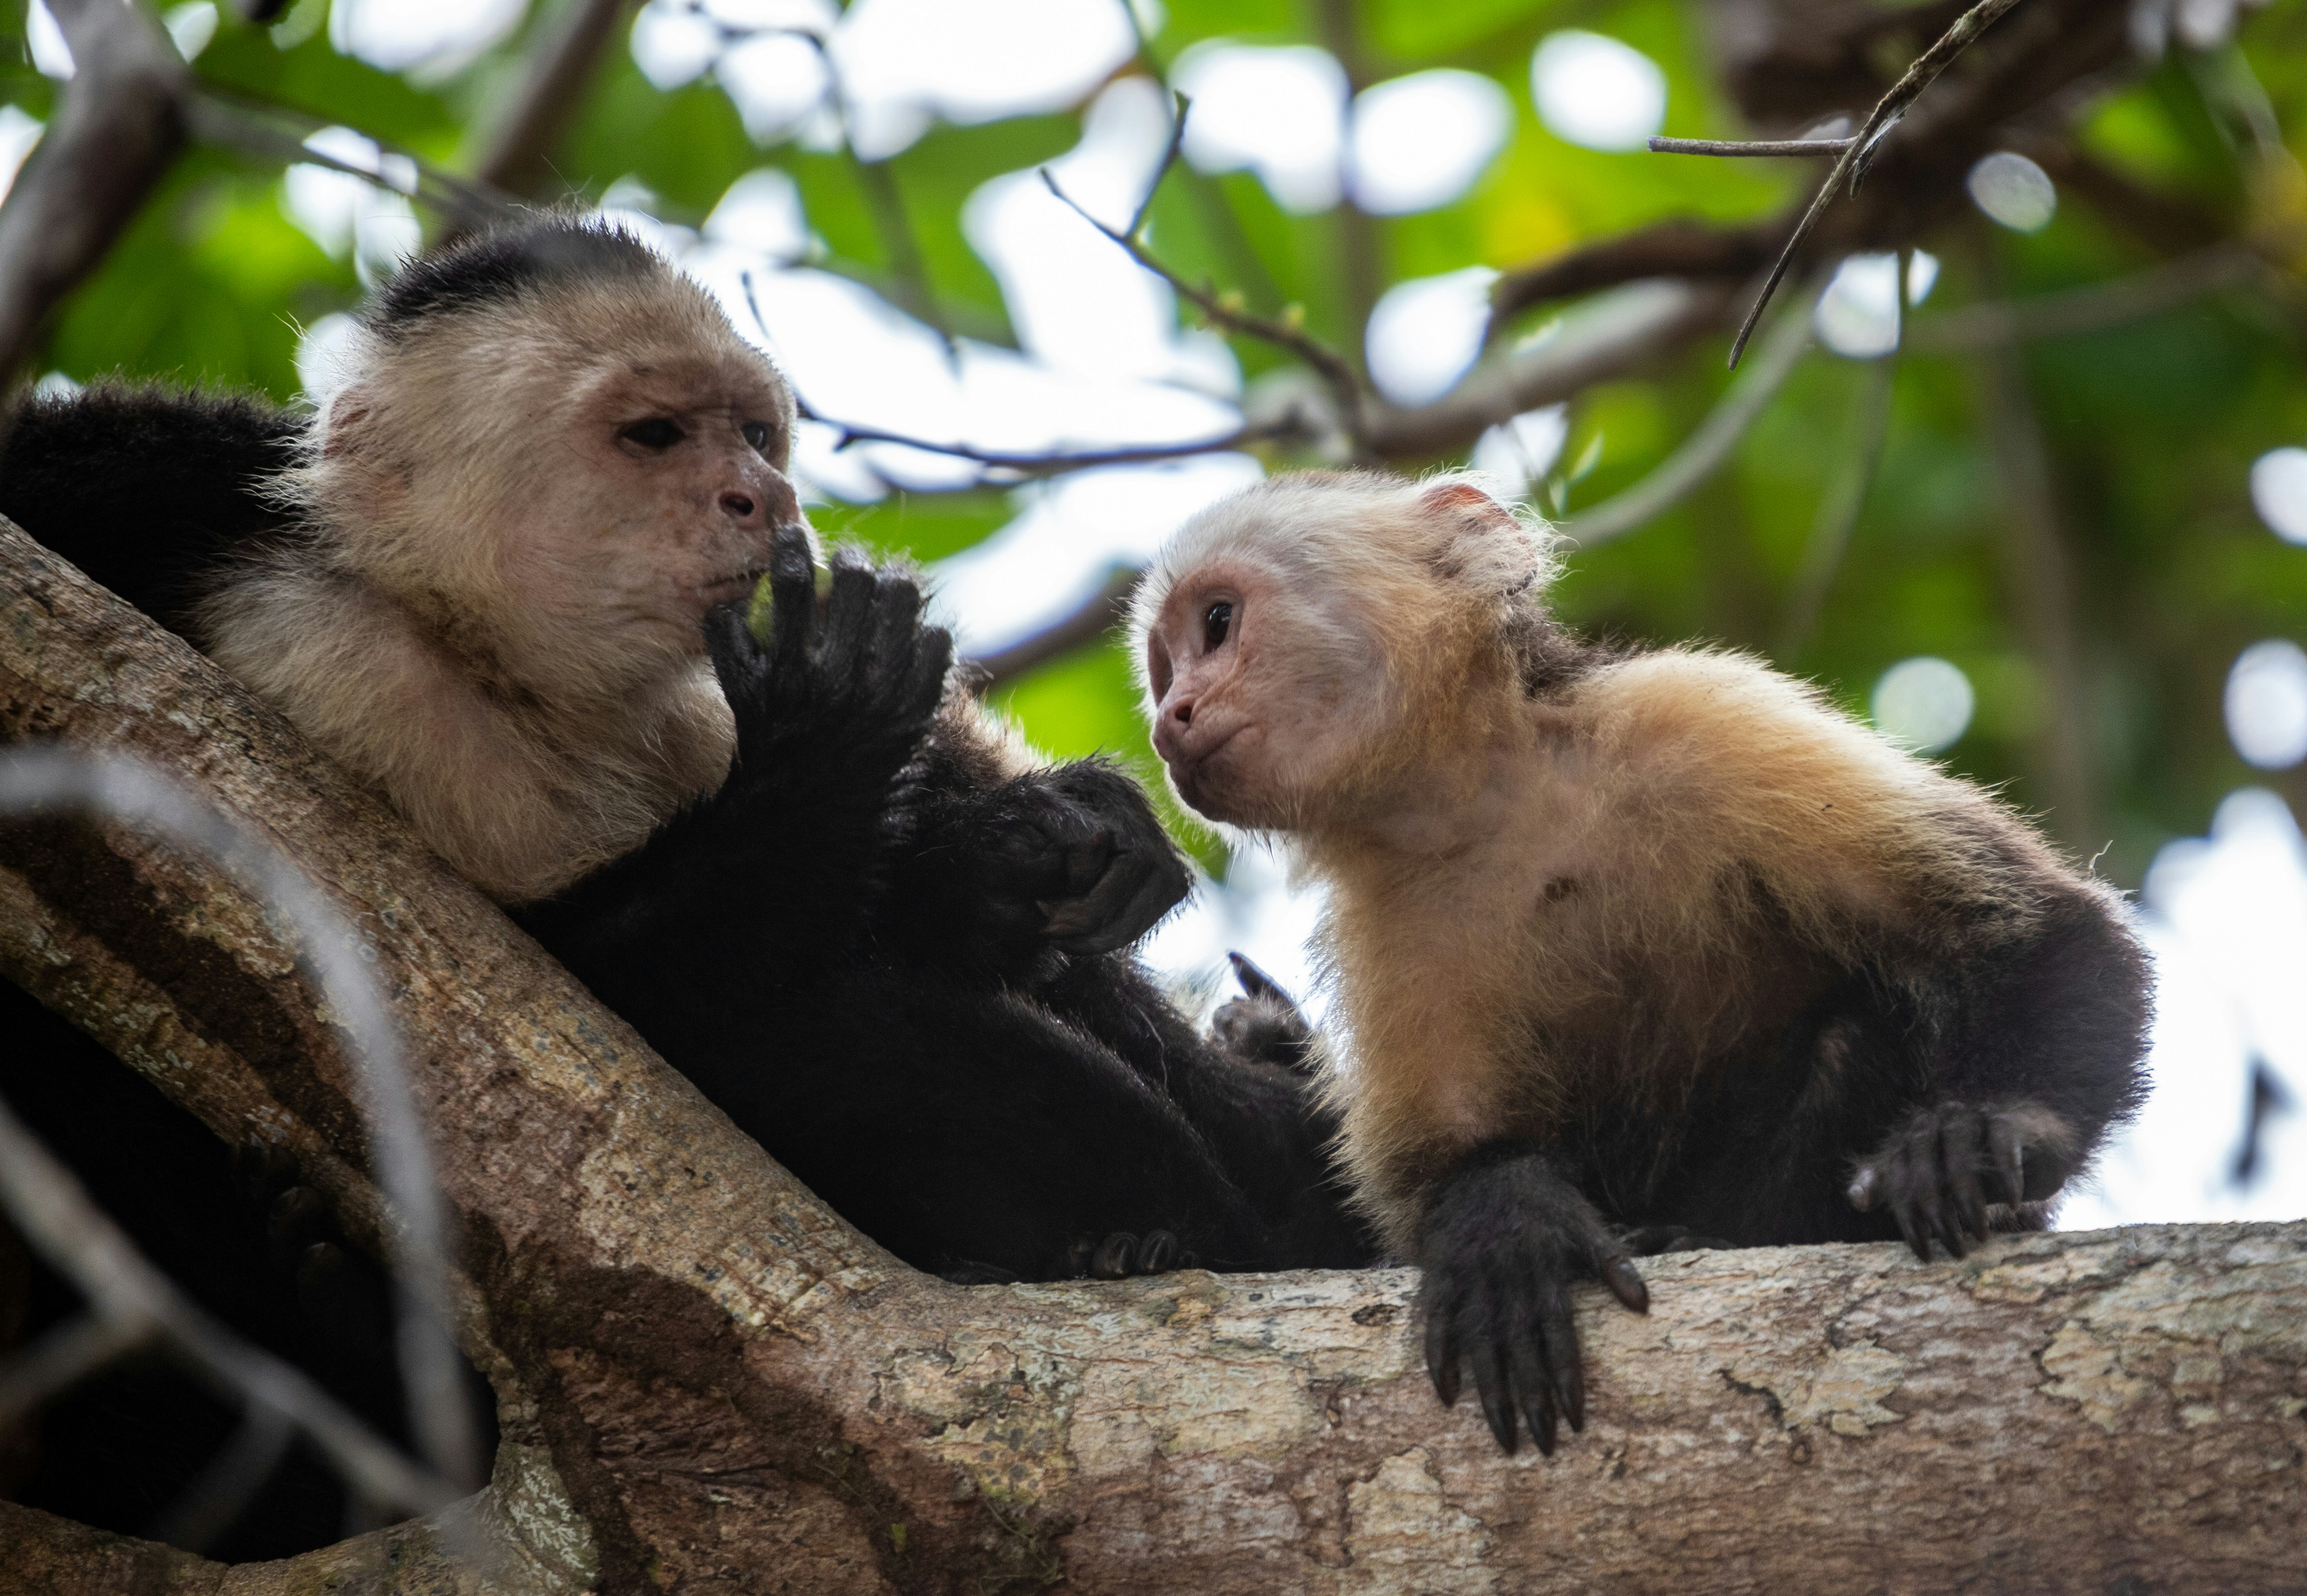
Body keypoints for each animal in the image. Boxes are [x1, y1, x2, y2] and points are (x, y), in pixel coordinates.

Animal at [0, 219, 1371, 1553]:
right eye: (654, 435)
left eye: (755, 435)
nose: (763, 497)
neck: (499, 667)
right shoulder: (257, 583)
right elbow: (589, 1009)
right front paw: (836, 736)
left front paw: (1025, 847)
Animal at [1130, 469, 2151, 1458]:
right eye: (1163, 669)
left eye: (1215, 623)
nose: (1170, 718)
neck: (1492, 798)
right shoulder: (1381, 912)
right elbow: (1434, 1167)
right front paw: (1503, 1223)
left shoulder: (1698, 714)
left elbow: (2029, 930)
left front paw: (1986, 1131)